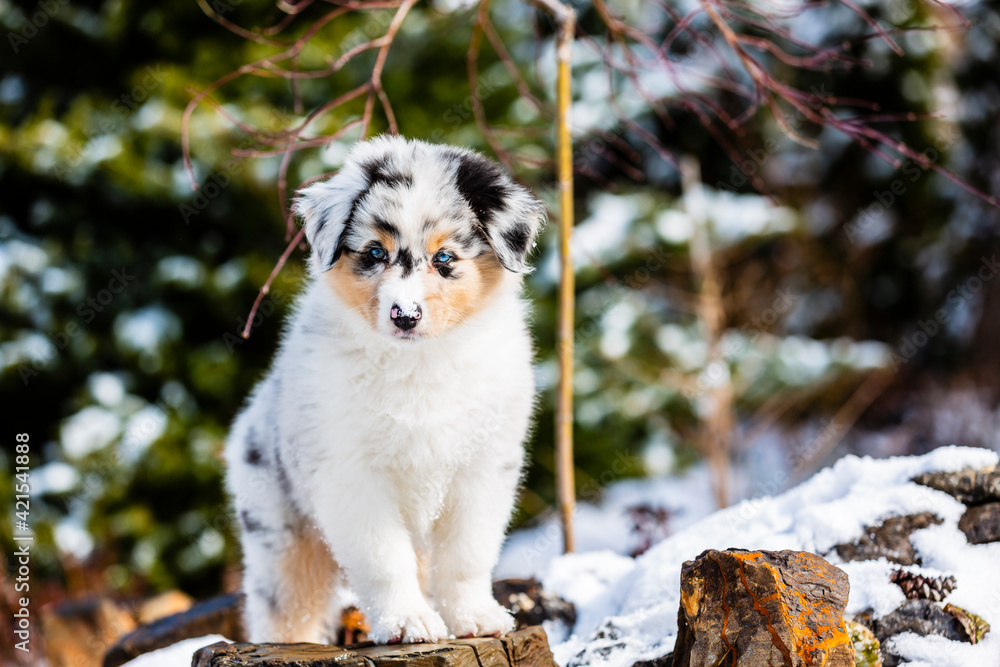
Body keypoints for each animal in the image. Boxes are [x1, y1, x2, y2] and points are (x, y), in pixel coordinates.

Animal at [226, 137, 544, 648]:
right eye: (375, 252)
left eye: (445, 258)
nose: (405, 315)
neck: (418, 364)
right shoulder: (351, 476)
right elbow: (384, 561)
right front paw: (408, 623)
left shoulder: (482, 467)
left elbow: (467, 555)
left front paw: (475, 617)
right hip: (279, 536)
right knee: (283, 609)